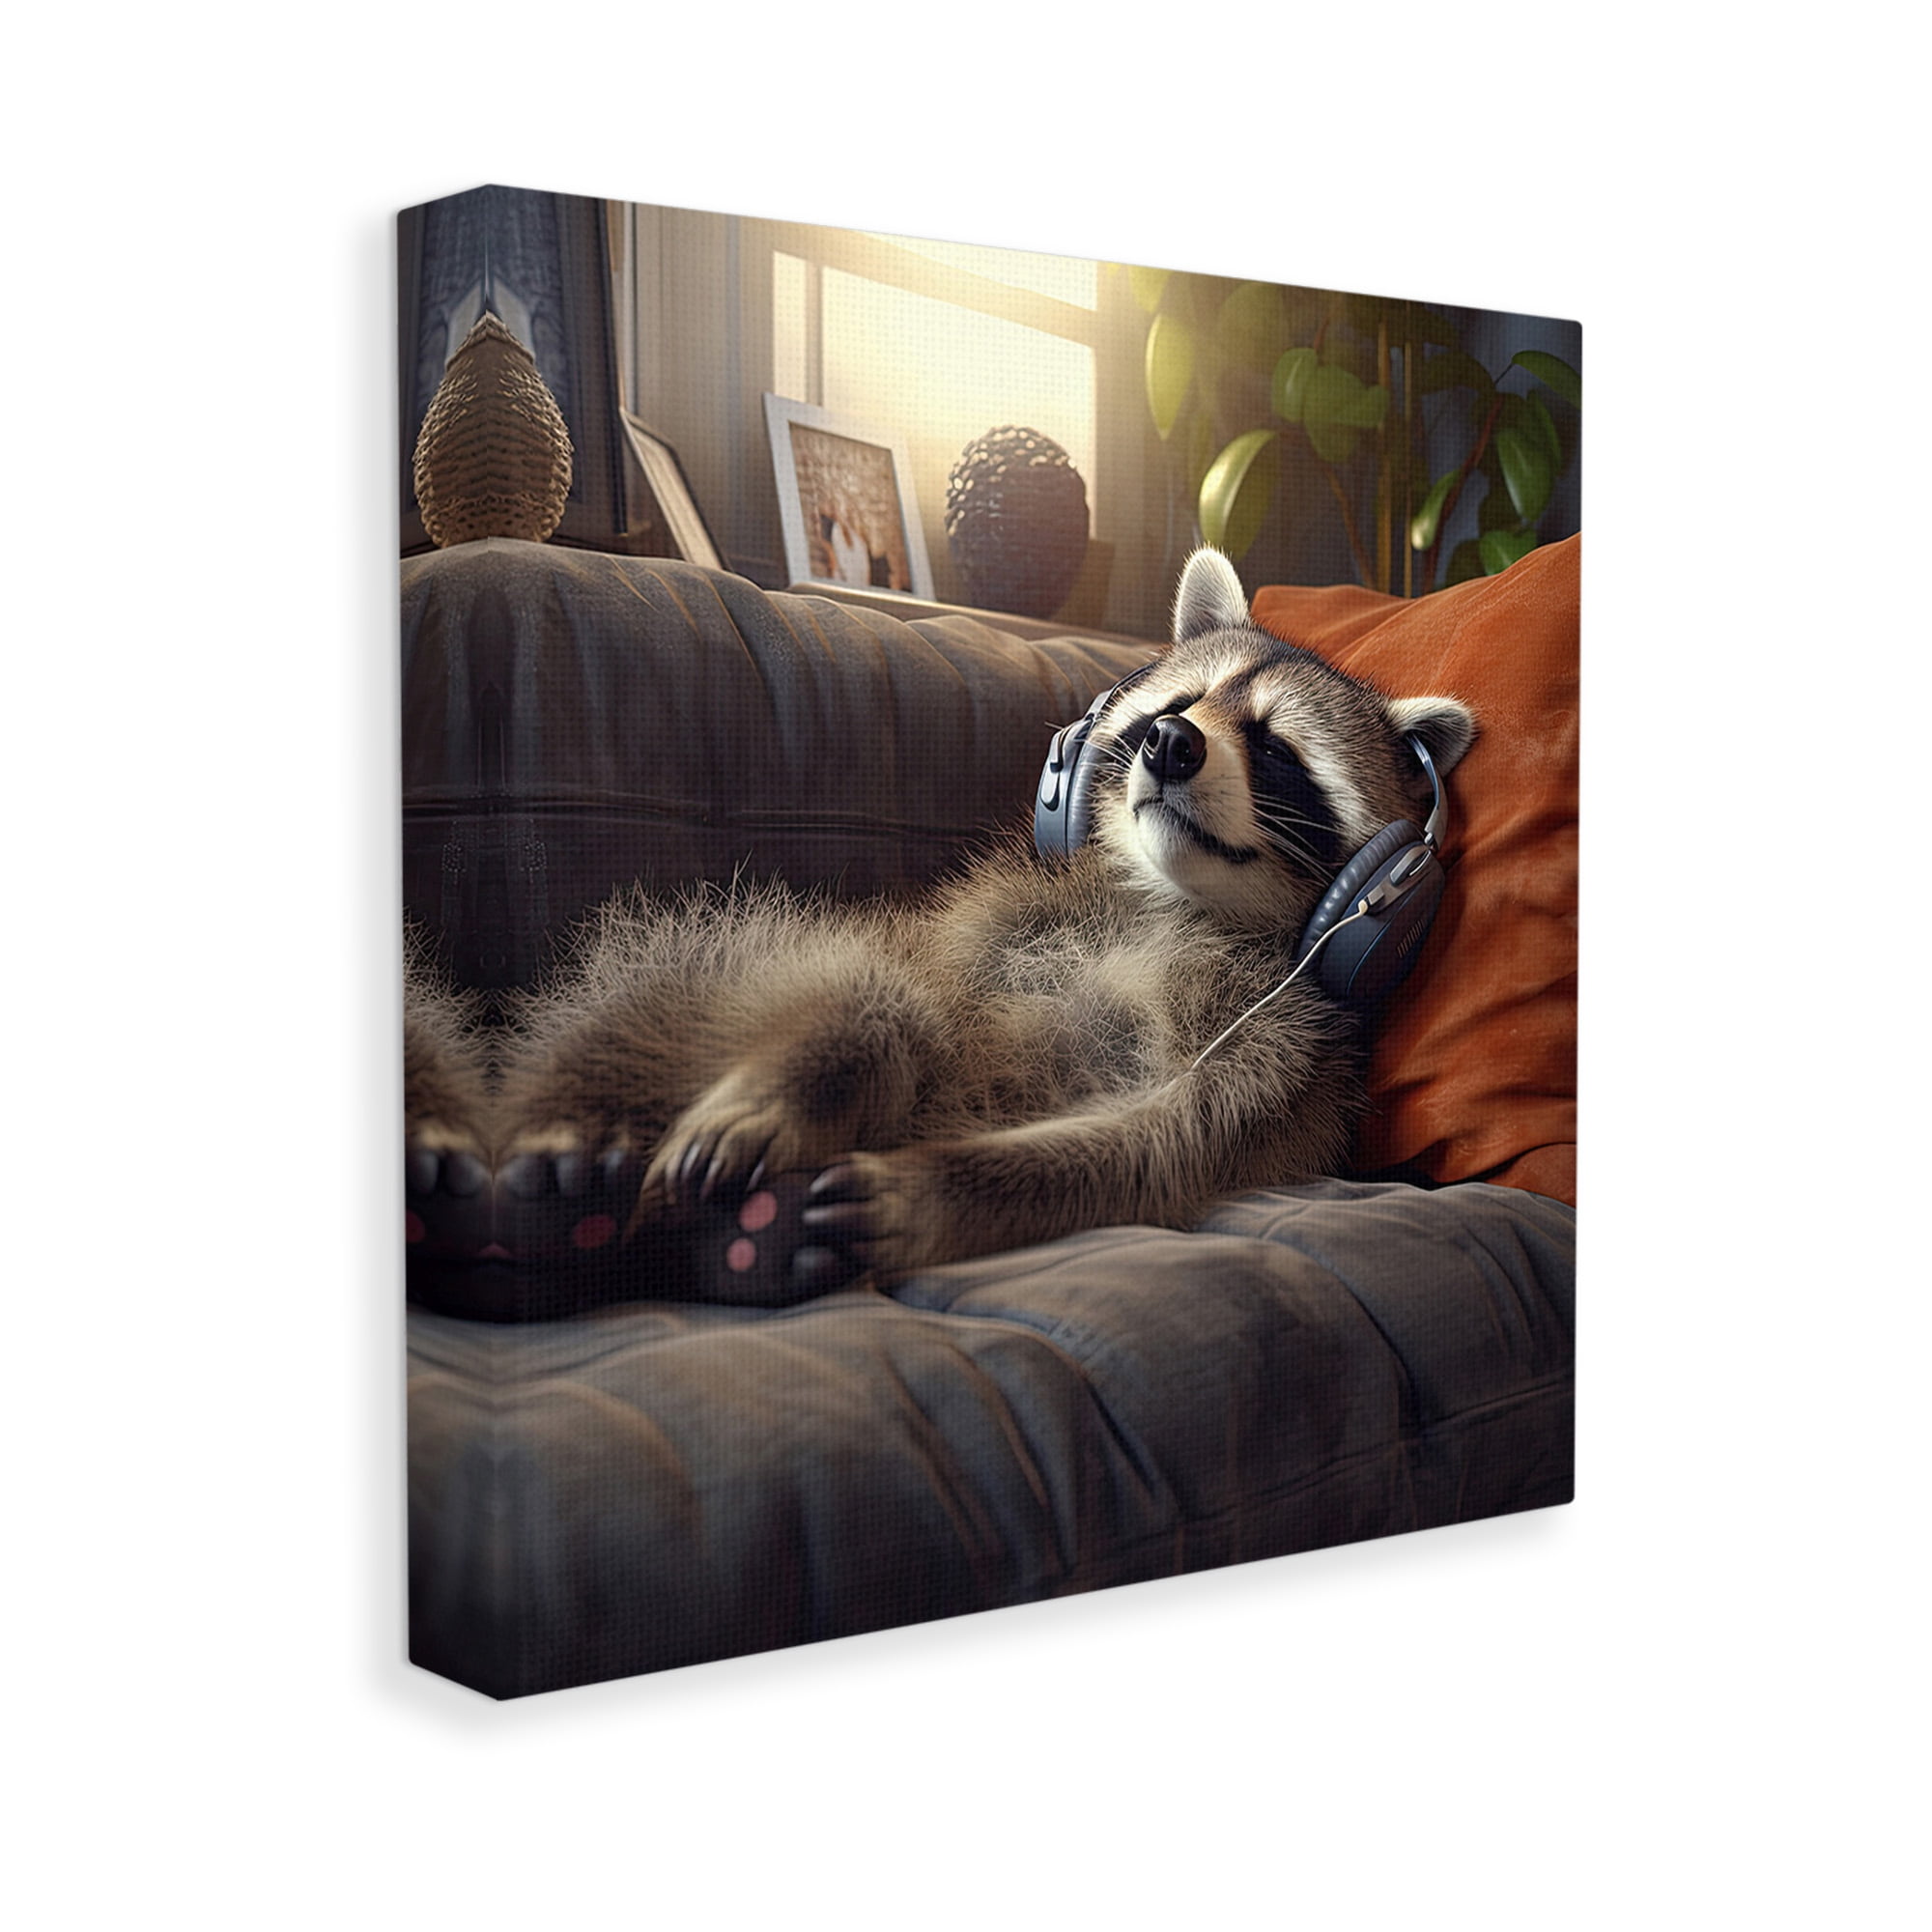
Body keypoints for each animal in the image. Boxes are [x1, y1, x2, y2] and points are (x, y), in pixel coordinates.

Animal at [407, 548, 1475, 1294]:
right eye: (1176, 705)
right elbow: (891, 990)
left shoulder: (1282, 1058)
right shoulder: (981, 918)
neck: (1172, 901)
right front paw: (807, 1082)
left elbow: (1157, 1144)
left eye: (1275, 749)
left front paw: (941, 1183)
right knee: (736, 979)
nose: (1171, 743)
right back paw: (573, 1134)